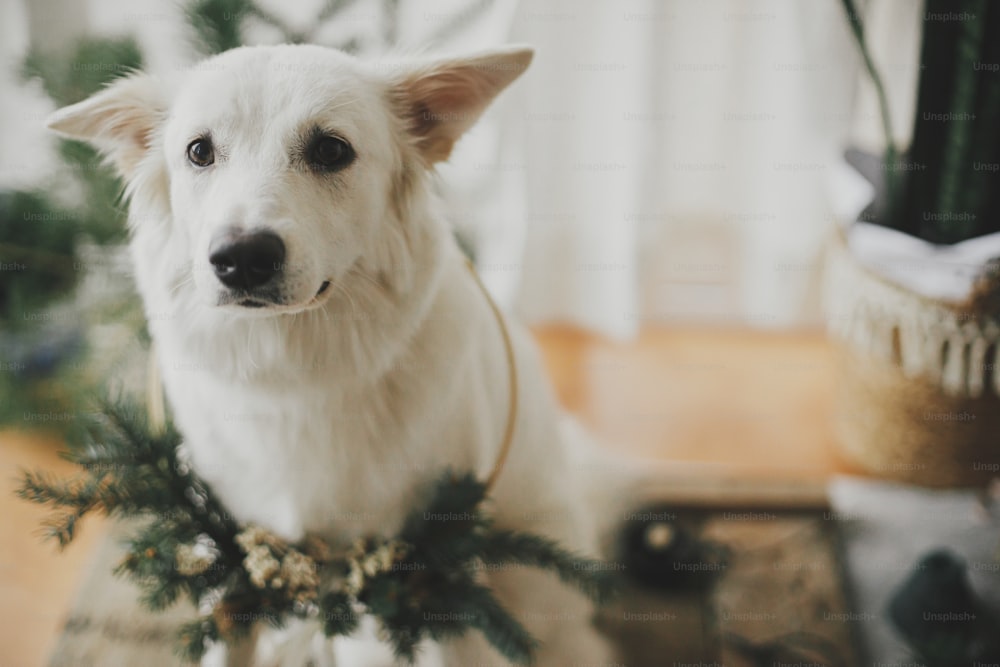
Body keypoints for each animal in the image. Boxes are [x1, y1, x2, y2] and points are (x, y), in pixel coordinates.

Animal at [48, 44, 624, 664]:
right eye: (199, 151)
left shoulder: (436, 564)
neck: (296, 379)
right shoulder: (235, 550)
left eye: (330, 150)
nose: (240, 259)